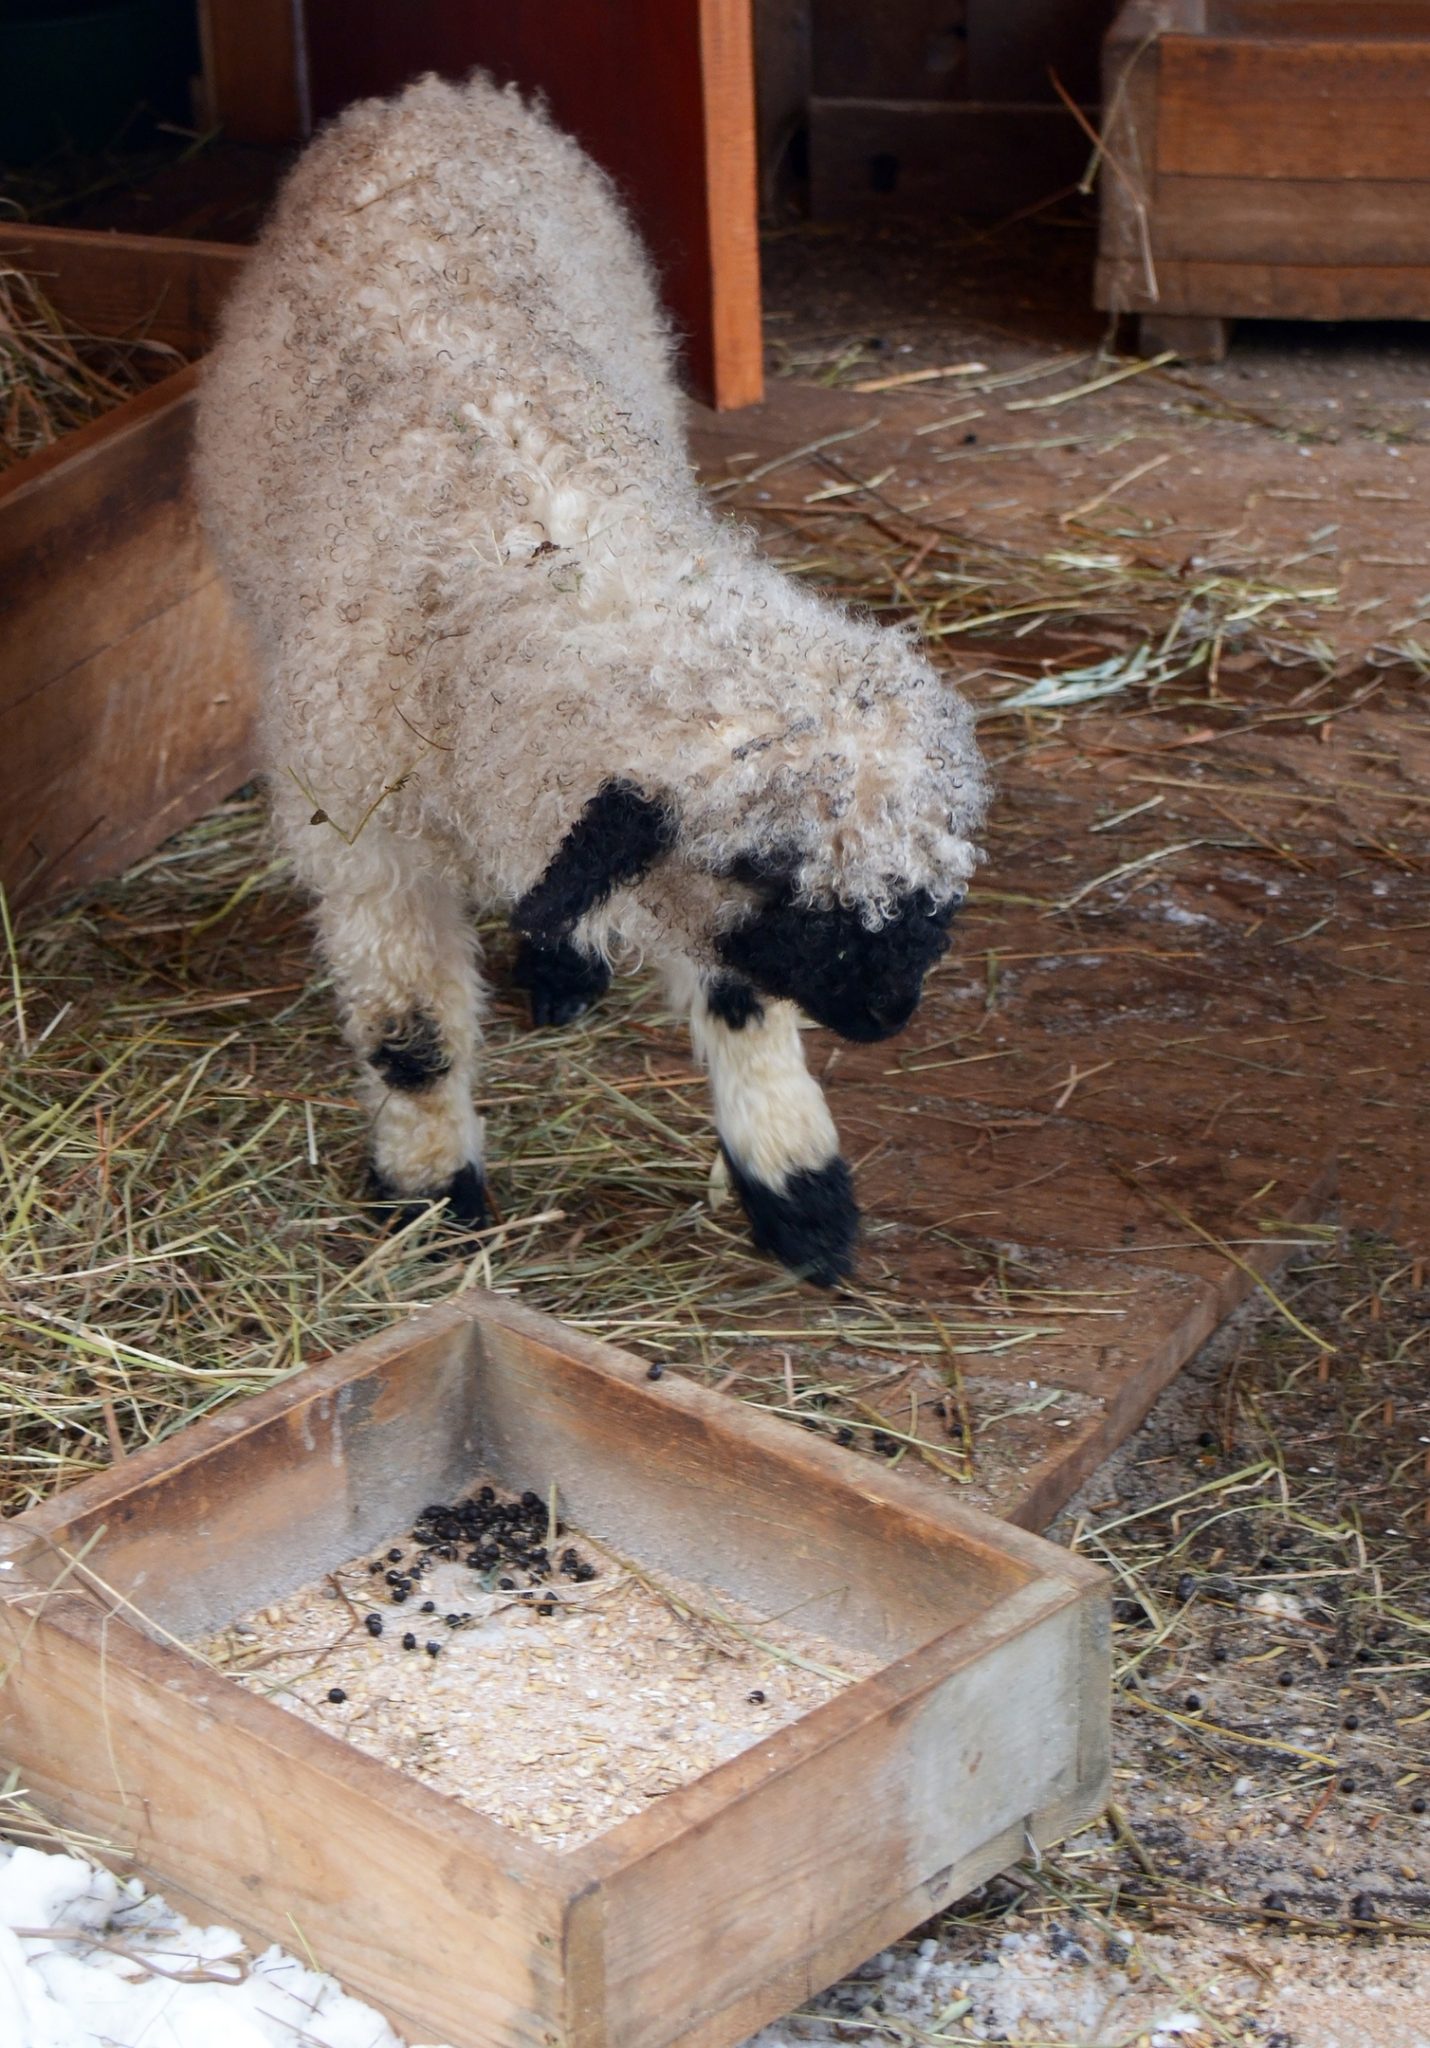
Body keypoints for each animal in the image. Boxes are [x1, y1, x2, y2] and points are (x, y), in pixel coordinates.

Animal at [194, 72, 987, 1286]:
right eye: (763, 865)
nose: (887, 1012)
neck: (542, 553)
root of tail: (439, 93)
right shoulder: (364, 835)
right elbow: (411, 1036)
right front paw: (430, 1196)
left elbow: (739, 1000)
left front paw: (798, 1192)